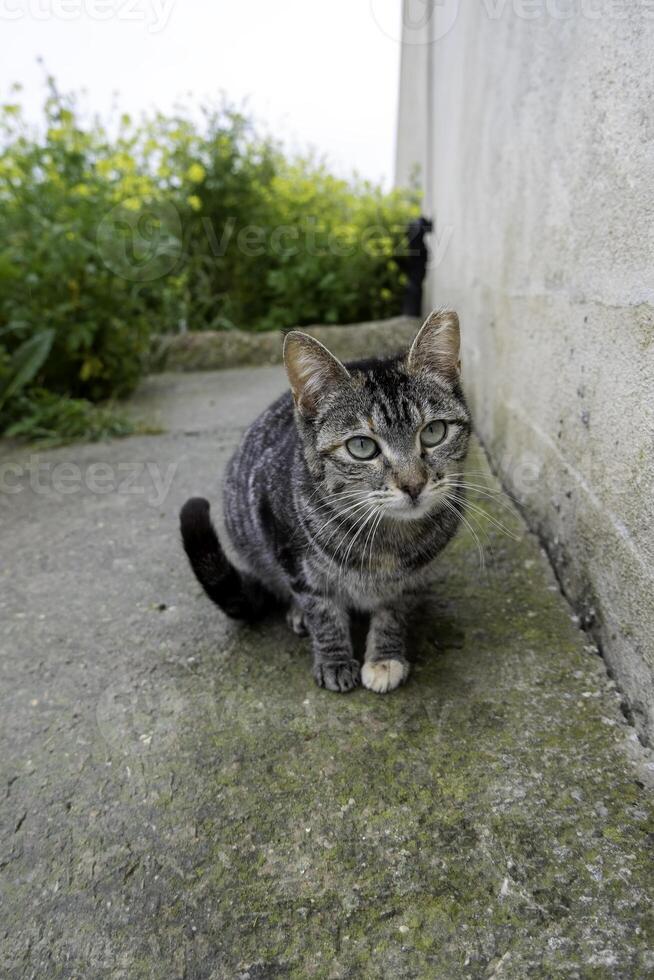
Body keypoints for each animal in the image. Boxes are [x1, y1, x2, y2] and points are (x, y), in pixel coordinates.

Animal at [182, 310, 474, 692]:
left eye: (434, 432)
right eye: (362, 446)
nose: (413, 484)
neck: (387, 540)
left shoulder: (410, 580)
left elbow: (393, 613)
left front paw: (385, 657)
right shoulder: (292, 553)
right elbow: (322, 611)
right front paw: (334, 659)